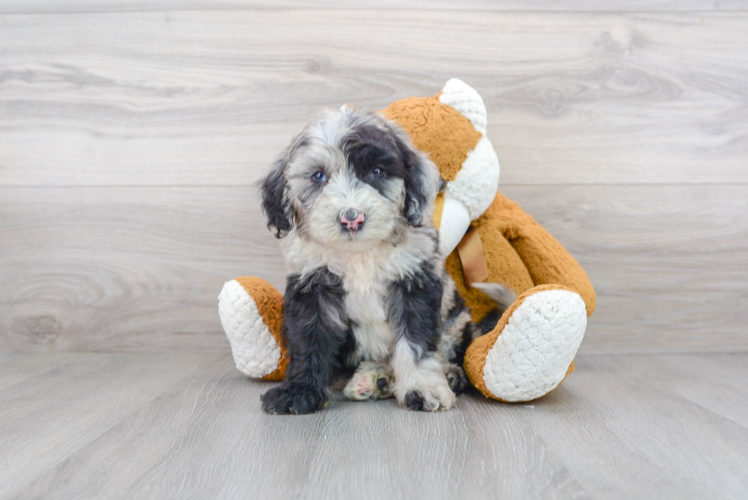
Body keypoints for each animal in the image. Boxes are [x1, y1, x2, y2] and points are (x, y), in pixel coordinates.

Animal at [258, 108, 508, 414]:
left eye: (377, 172)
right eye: (318, 176)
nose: (351, 218)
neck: (360, 255)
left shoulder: (414, 281)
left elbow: (415, 341)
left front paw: (423, 386)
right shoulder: (312, 285)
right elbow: (309, 340)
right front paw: (299, 391)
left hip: (455, 320)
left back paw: (445, 374)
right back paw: (375, 379)